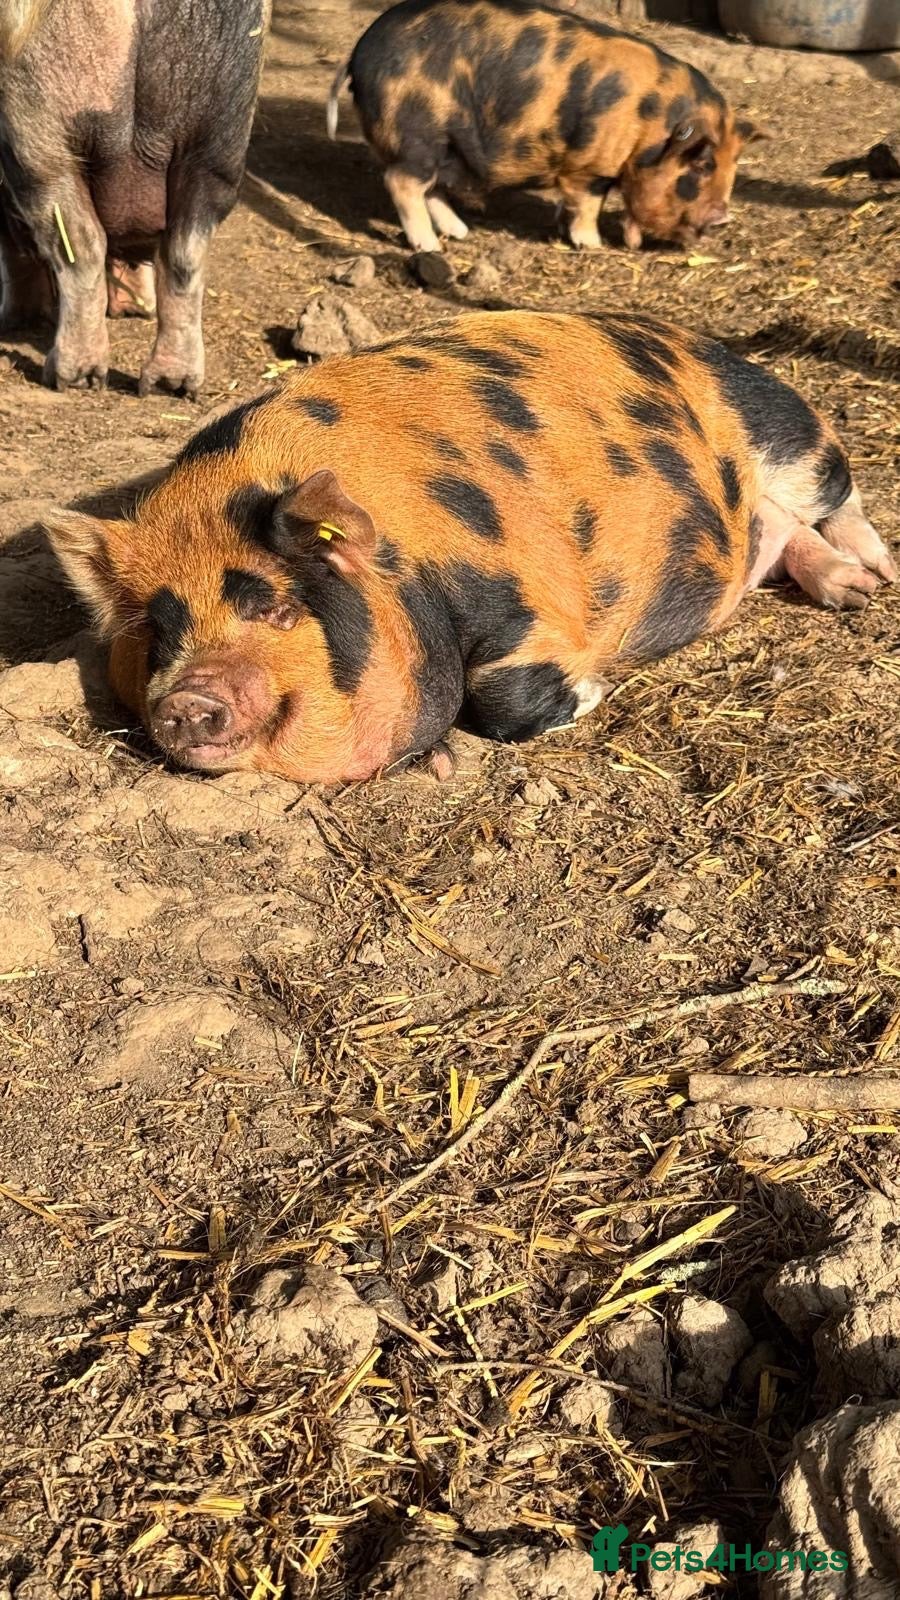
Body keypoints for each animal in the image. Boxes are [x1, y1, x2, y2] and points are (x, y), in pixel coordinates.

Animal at [0, 0, 269, 394]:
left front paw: (18, 320)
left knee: (77, 243)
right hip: (221, 122)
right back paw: (170, 383)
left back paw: (70, 377)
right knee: (184, 250)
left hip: (32, 120)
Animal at [45, 309, 895, 785]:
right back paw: (846, 588)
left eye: (277, 608)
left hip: (785, 422)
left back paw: (874, 580)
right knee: (778, 529)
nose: (191, 697)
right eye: (159, 631)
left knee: (832, 493)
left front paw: (593, 690)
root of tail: (683, 337)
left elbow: (500, 693)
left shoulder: (530, 600)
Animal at [327, 0, 759, 253]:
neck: (649, 128)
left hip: (446, 145)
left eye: (731, 167)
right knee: (401, 182)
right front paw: (592, 245)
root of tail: (359, 52)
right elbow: (590, 202)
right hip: (418, 134)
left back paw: (461, 233)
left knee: (431, 187)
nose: (723, 216)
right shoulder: (590, 165)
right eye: (701, 165)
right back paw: (430, 248)